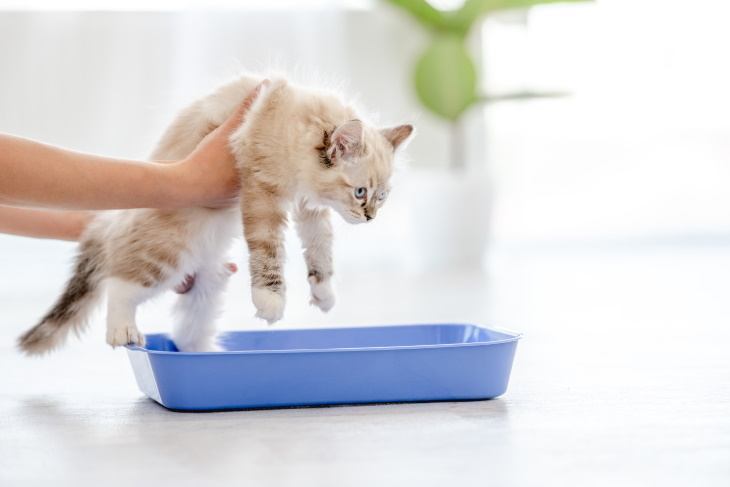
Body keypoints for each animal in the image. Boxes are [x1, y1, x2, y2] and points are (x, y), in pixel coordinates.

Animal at [17, 74, 412, 354]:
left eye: (382, 196)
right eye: (360, 192)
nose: (370, 217)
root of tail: (113, 222)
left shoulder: (307, 207)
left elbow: (320, 249)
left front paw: (324, 294)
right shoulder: (262, 192)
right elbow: (269, 252)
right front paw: (271, 302)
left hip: (207, 283)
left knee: (187, 337)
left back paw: (204, 355)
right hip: (166, 256)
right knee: (120, 285)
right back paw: (123, 332)